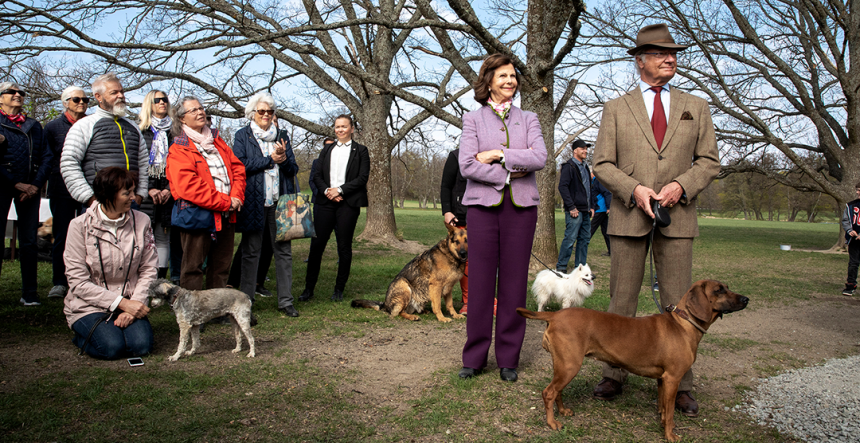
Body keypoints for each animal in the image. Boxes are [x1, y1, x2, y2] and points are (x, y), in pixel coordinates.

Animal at [516, 280, 744, 440]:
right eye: (719, 290)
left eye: (727, 287)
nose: (746, 299)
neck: (682, 324)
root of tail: (554, 315)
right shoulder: (672, 378)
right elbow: (670, 413)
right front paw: (670, 435)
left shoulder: (663, 380)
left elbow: (663, 408)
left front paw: (662, 424)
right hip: (570, 365)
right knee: (549, 392)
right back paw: (552, 423)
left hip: (563, 365)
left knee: (557, 391)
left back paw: (562, 411)